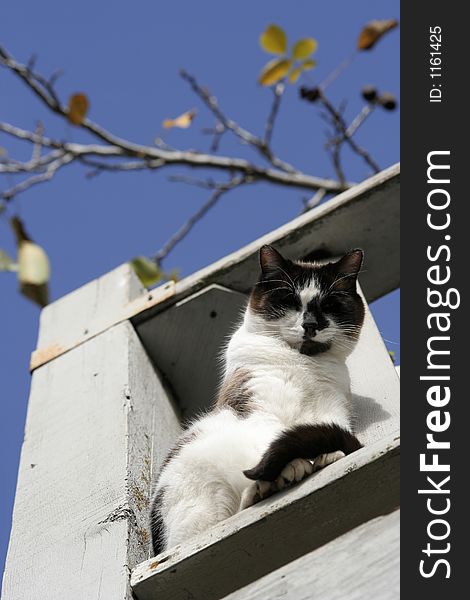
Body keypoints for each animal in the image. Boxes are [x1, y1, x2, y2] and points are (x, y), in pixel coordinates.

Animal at [151, 246, 368, 556]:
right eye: (289, 301)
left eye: (329, 305)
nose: (310, 325)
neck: (305, 363)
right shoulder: (259, 409)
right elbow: (274, 442)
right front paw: (292, 467)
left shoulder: (332, 409)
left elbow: (327, 433)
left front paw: (327, 456)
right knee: (231, 512)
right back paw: (268, 486)